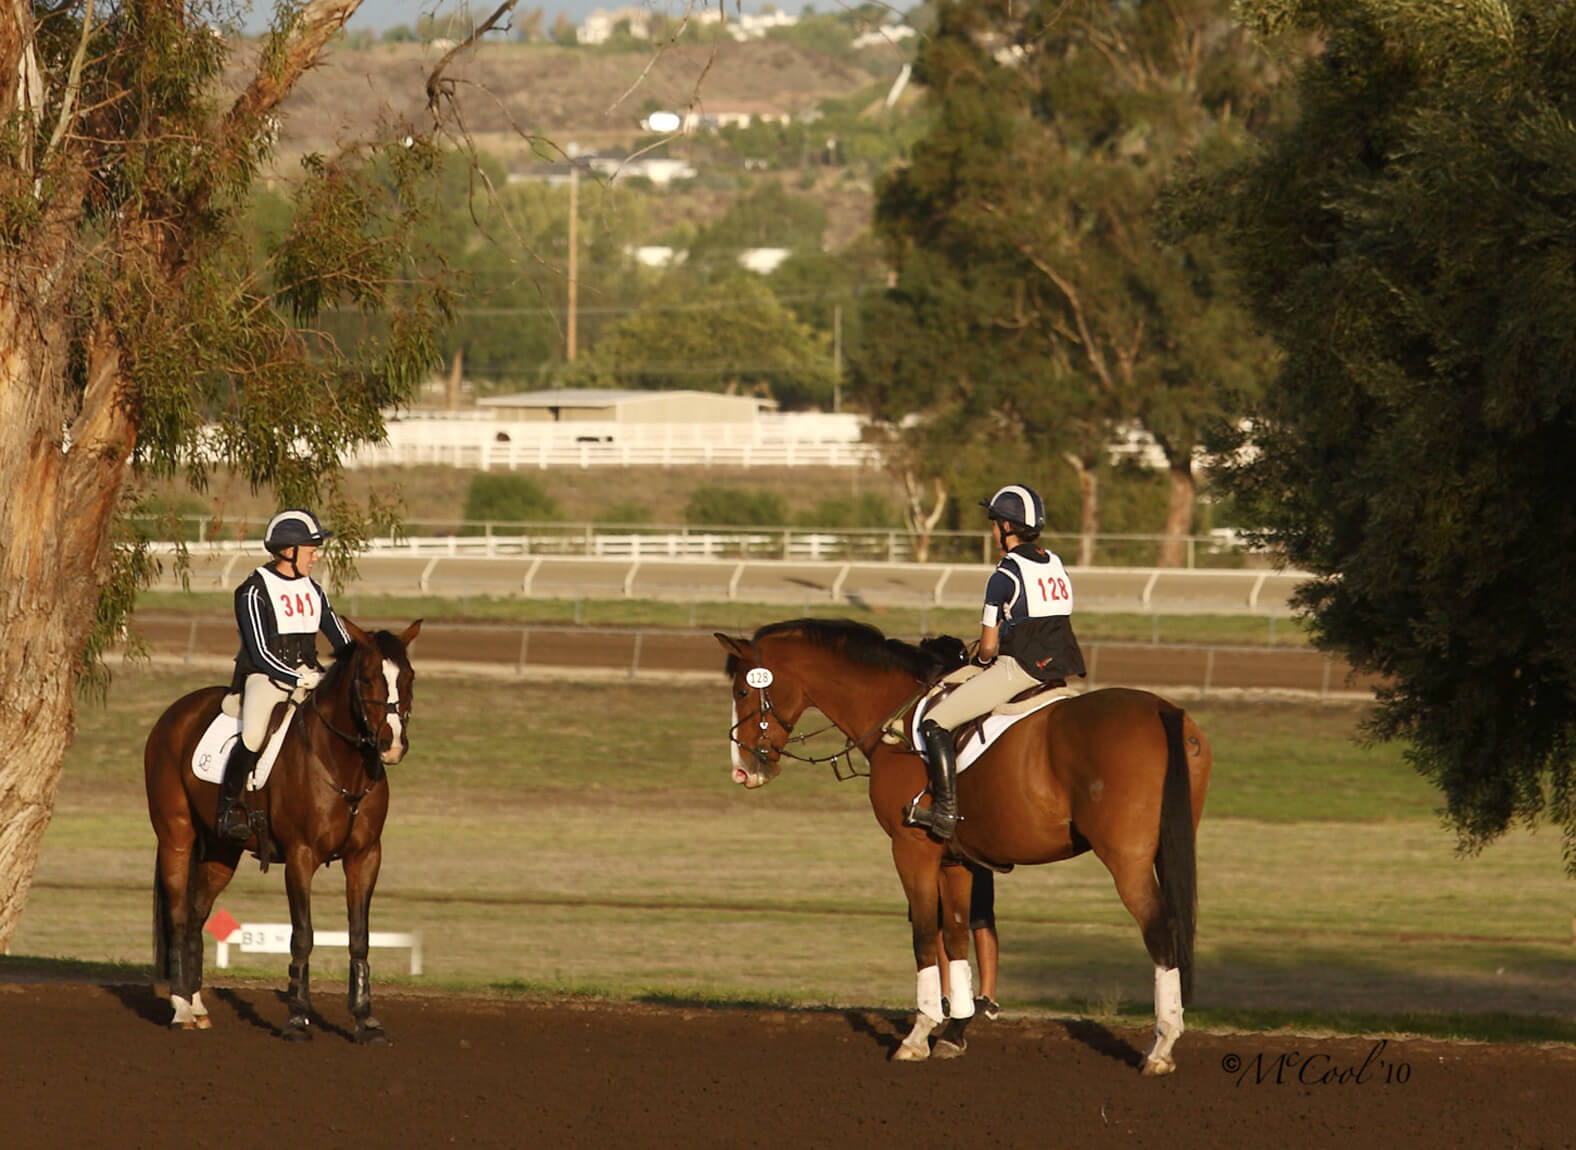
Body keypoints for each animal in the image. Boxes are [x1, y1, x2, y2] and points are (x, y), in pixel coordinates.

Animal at [142, 617, 422, 1039]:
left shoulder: (365, 858)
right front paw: (297, 1018)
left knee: (194, 917)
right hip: (176, 836)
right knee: (177, 915)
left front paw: (364, 1019)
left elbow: (360, 938)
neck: (343, 765)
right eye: (369, 677)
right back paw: (181, 1010)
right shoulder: (300, 858)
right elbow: (302, 935)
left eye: (408, 676)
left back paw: (197, 1005)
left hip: (222, 852)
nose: (392, 745)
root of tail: (174, 714)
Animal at [721, 617, 1210, 1064]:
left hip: (1127, 862)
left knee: (1160, 930)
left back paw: (1162, 1044)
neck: (894, 717)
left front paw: (919, 1035)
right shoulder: (954, 861)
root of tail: (1163, 711)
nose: (743, 770)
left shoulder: (912, 852)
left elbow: (923, 935)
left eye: (742, 692)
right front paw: (954, 1030)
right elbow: (955, 937)